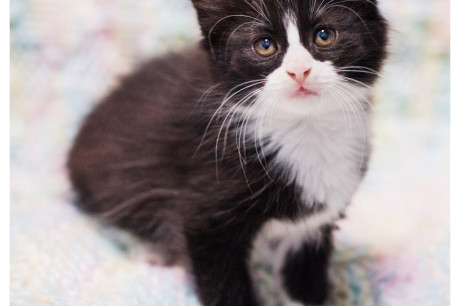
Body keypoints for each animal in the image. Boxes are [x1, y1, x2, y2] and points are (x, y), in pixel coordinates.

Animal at [66, 1, 386, 304]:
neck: (305, 129)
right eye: (265, 45)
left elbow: (303, 278)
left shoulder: (315, 221)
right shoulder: (206, 210)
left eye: (324, 35)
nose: (299, 71)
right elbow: (222, 280)